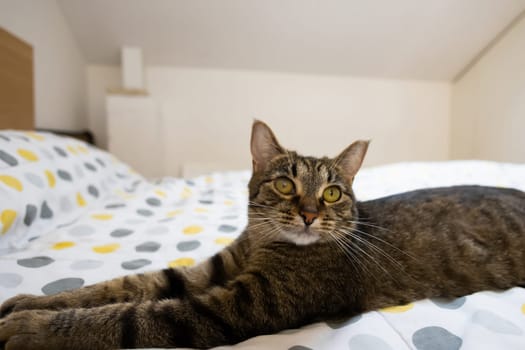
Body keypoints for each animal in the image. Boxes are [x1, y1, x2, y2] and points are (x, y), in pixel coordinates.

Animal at [1, 121, 524, 350]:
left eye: (332, 192)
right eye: (286, 184)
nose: (310, 214)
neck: (265, 243)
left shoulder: (244, 303)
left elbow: (133, 316)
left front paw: (32, 328)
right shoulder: (216, 268)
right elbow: (125, 285)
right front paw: (31, 303)